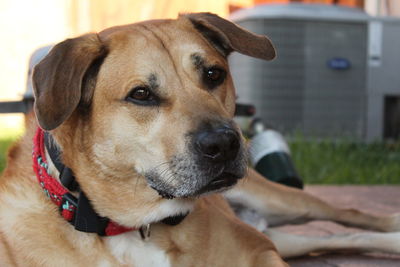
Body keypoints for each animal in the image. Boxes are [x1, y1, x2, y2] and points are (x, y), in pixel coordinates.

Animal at [0, 12, 398, 267]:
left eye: (213, 74)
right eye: (141, 94)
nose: (224, 144)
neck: (137, 226)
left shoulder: (260, 251)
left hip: (281, 202)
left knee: (351, 217)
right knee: (340, 239)